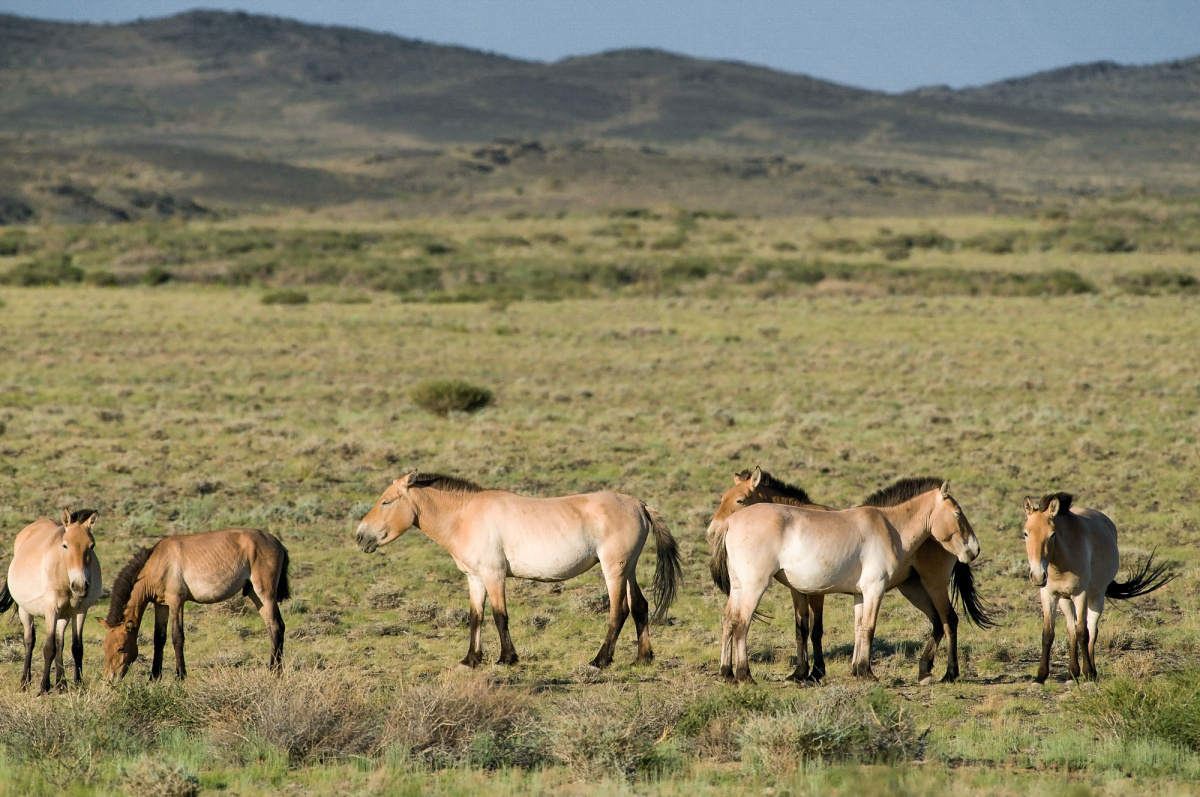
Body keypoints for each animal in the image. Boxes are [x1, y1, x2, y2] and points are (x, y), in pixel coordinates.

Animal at [0, 511, 100, 691]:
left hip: (64, 615)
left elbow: (76, 648)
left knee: (60, 642)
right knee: (29, 641)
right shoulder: (51, 610)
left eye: (92, 546)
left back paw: (61, 684)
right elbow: (49, 648)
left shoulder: (80, 611)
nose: (80, 586)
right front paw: (44, 687)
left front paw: (78, 684)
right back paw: (25, 682)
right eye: (65, 545)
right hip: (25, 611)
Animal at [96, 525, 288, 681]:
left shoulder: (176, 601)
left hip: (265, 593)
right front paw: (154, 677)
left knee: (277, 626)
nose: (110, 678)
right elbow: (159, 638)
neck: (158, 561)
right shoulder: (161, 605)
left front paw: (180, 675)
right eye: (105, 647)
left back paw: (275, 672)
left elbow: (177, 637)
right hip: (255, 595)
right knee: (271, 627)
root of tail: (276, 542)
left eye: (121, 648)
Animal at [350, 470, 681, 667]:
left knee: (619, 610)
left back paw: (600, 660)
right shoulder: (475, 578)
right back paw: (643, 658)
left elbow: (500, 616)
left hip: (614, 569)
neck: (465, 516)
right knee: (639, 606)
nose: (360, 536)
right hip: (629, 569)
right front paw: (471, 659)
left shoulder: (494, 575)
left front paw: (507, 658)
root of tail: (638, 504)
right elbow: (476, 617)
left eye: (386, 501)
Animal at [705, 468, 998, 686]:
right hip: (753, 588)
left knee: (728, 620)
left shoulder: (859, 593)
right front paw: (866, 673)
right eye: (958, 513)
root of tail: (731, 524)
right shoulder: (872, 590)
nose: (974, 548)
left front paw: (855, 670)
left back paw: (727, 673)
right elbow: (866, 628)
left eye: (738, 499)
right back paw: (744, 675)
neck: (890, 525)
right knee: (740, 624)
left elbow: (856, 628)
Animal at [1022, 492, 1171, 686]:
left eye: (1052, 534)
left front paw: (1087, 675)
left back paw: (1091, 673)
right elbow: (1048, 634)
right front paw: (1040, 677)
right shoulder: (1048, 595)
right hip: (1064, 600)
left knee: (1091, 630)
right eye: (1025, 533)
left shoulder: (1082, 595)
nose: (1038, 576)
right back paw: (1072, 674)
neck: (1060, 563)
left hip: (1096, 597)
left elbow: (1083, 633)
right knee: (1071, 628)